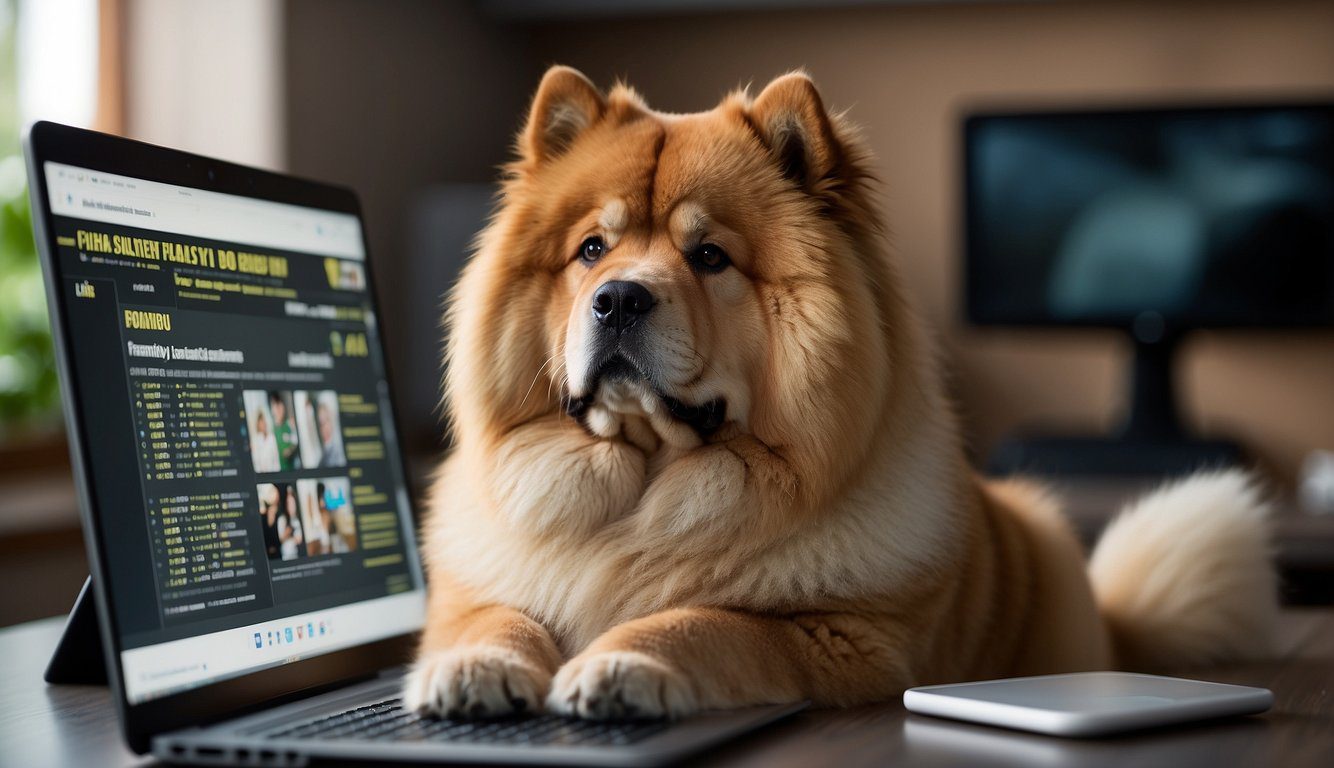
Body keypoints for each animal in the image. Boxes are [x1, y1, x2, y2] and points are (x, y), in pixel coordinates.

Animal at [400, 66, 1275, 720]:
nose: (617, 298)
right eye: (591, 250)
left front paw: (619, 666)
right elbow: (493, 616)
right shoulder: (479, 588)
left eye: (710, 256)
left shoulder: (843, 636)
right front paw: (475, 669)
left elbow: (703, 621)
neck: (648, 491)